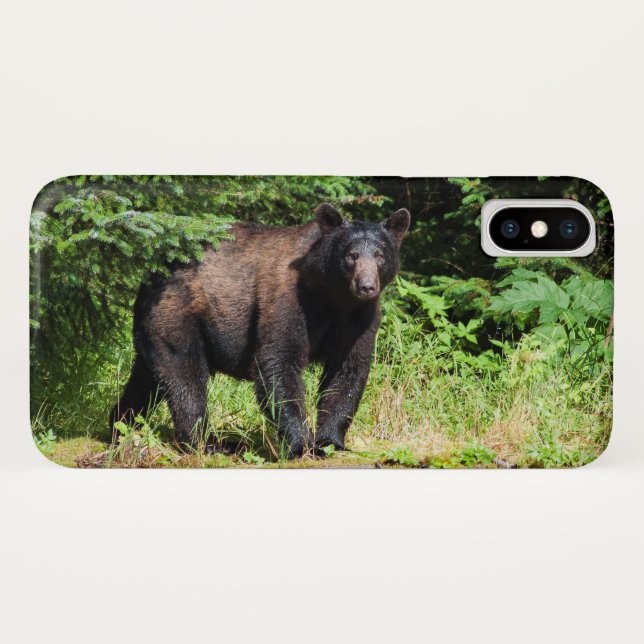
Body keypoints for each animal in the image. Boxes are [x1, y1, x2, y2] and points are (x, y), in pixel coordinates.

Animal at [110, 203, 410, 458]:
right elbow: (279, 361)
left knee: (147, 378)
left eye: (380, 255)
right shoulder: (287, 299)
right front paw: (299, 444)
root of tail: (151, 273)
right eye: (351, 255)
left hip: (154, 328)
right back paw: (205, 443)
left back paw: (120, 423)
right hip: (178, 314)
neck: (332, 297)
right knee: (185, 375)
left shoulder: (359, 318)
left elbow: (347, 370)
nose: (366, 286)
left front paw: (330, 441)